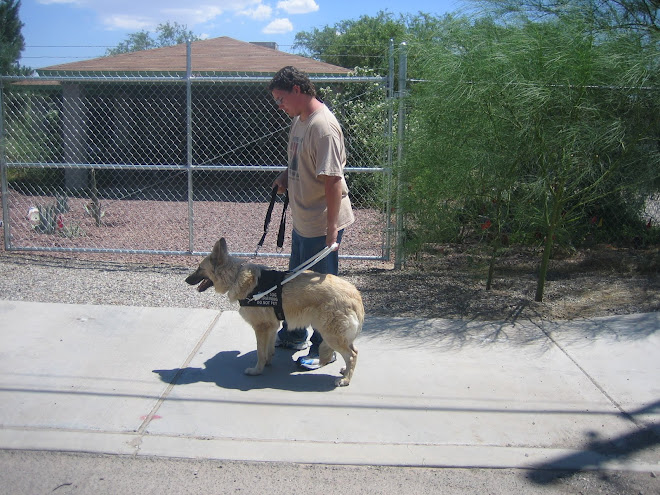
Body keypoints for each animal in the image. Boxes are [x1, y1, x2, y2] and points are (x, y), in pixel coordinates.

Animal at [184, 238, 366, 386]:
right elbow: (268, 349)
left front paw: (257, 370)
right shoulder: (271, 327)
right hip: (336, 335)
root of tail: (355, 294)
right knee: (354, 350)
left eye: (199, 268)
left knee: (352, 355)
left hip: (331, 334)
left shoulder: (261, 328)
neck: (235, 276)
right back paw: (345, 371)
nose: (186, 280)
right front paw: (267, 363)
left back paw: (345, 380)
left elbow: (260, 352)